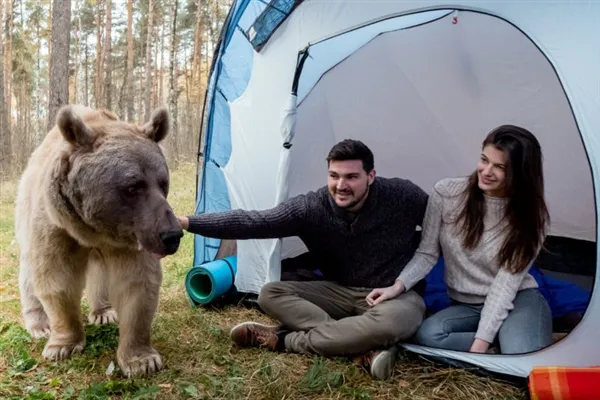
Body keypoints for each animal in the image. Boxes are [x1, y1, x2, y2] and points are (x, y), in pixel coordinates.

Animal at [14, 104, 183, 378]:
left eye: (163, 182)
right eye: (133, 186)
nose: (172, 234)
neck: (94, 229)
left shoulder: (134, 236)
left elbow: (137, 285)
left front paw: (141, 360)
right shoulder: (56, 226)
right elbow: (56, 277)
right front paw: (62, 345)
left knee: (100, 273)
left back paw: (103, 312)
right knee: (29, 271)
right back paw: (39, 324)